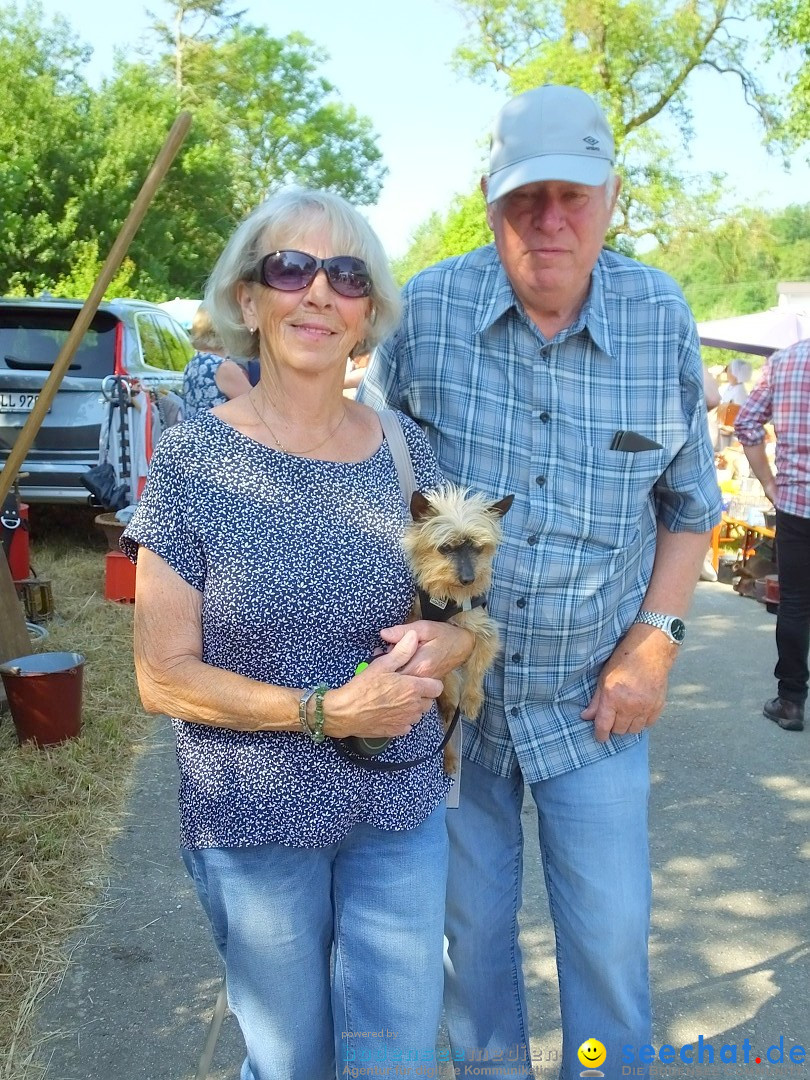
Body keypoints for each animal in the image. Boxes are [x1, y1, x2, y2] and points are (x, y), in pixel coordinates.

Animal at [403, 486, 516, 773]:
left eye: (478, 548)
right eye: (445, 548)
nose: (468, 579)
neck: (445, 598)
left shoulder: (484, 629)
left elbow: (477, 664)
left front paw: (472, 700)